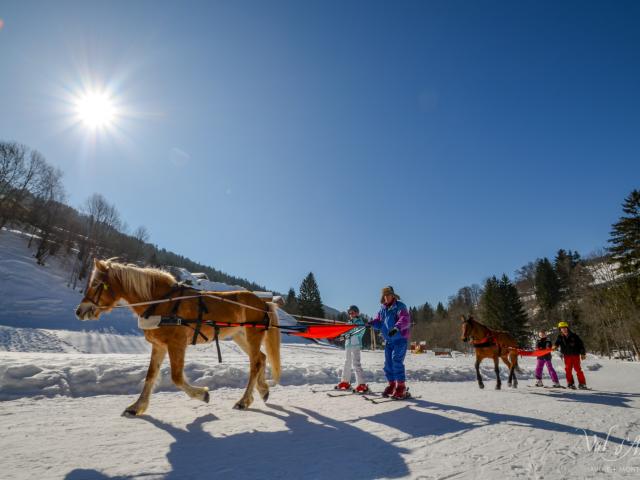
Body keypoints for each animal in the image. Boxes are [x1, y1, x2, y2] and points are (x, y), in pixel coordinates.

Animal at [76, 258, 282, 416]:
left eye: (96, 284)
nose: (79, 311)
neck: (162, 302)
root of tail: (263, 303)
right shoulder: (159, 345)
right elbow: (150, 375)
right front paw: (136, 407)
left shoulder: (177, 344)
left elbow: (176, 377)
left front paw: (202, 394)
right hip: (240, 336)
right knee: (261, 358)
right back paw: (263, 390)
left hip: (252, 335)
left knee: (255, 363)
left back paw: (244, 400)